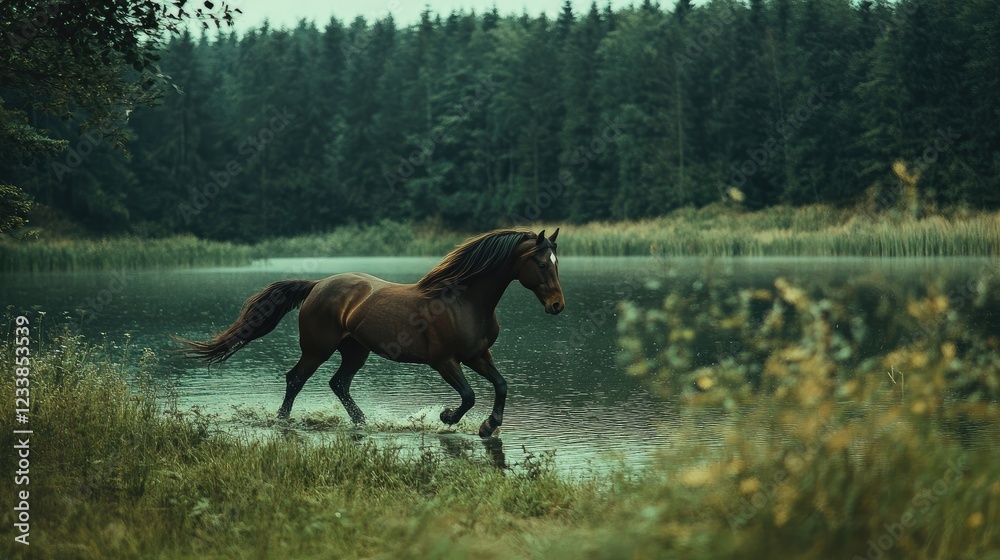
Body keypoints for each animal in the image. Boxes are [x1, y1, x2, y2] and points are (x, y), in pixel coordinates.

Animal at [176, 228, 565, 438]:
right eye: (541, 263)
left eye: (556, 263)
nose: (558, 305)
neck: (464, 300)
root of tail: (318, 284)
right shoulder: (444, 361)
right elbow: (468, 396)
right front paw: (447, 417)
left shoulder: (478, 355)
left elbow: (501, 385)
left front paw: (488, 426)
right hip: (317, 348)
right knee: (296, 379)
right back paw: (283, 420)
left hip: (355, 350)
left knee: (338, 383)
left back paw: (361, 421)